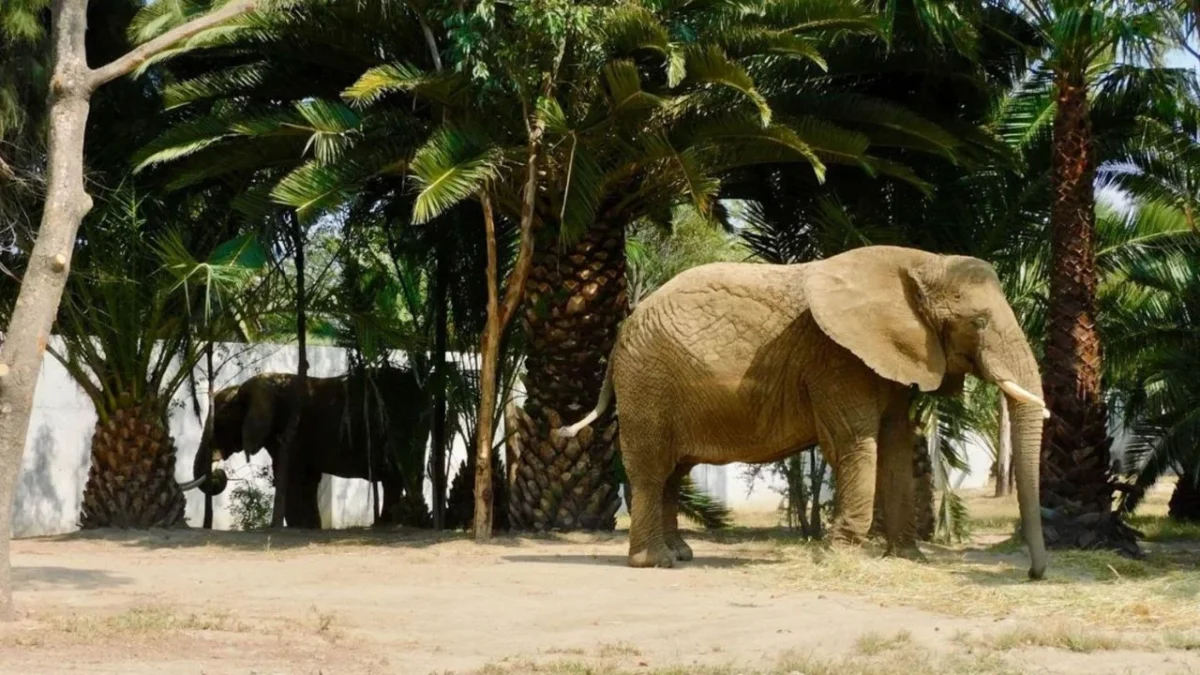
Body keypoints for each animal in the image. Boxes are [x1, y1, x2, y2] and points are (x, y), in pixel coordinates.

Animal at [188, 366, 430, 529]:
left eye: (220, 424)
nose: (219, 472)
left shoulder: (291, 432)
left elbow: (292, 478)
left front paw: (298, 526)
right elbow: (308, 480)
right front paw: (311, 527)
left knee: (396, 478)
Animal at [559, 245, 1049, 579]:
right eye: (979, 323)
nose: (1032, 573)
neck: (921, 262)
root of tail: (622, 332)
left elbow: (895, 441)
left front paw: (907, 558)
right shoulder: (835, 357)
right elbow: (857, 443)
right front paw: (841, 554)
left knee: (674, 473)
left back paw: (681, 554)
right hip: (648, 382)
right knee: (652, 470)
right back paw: (656, 561)